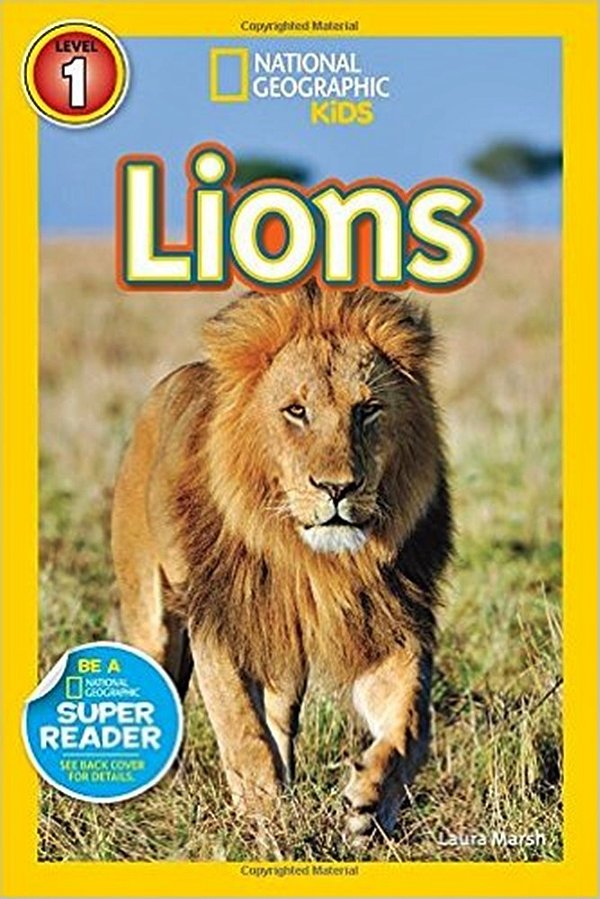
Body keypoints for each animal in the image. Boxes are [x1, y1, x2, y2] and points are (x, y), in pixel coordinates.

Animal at [111, 282, 453, 837]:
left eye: (367, 410)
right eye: (296, 411)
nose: (337, 488)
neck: (310, 561)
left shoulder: (387, 624)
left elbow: (410, 723)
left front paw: (372, 800)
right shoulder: (221, 622)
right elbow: (241, 729)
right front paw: (263, 817)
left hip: (284, 656)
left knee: (280, 719)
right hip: (151, 616)